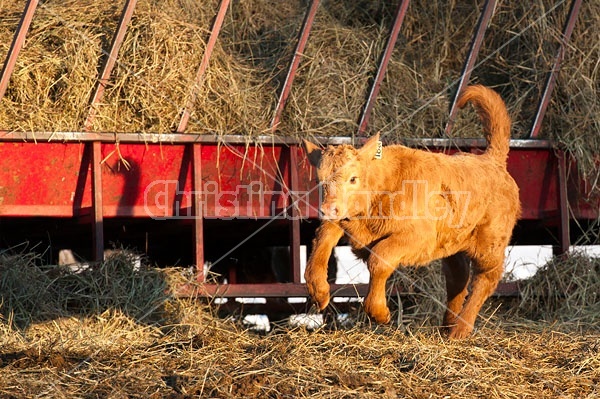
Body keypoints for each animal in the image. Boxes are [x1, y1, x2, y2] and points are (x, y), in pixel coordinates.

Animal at [304, 86, 520, 340]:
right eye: (319, 181)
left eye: (353, 178)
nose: (328, 208)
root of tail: (491, 161)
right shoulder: (341, 221)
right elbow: (321, 245)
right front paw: (319, 293)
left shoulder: (420, 237)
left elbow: (380, 257)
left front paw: (379, 312)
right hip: (453, 243)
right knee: (458, 278)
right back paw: (448, 325)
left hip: (490, 243)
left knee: (486, 278)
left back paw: (460, 329)